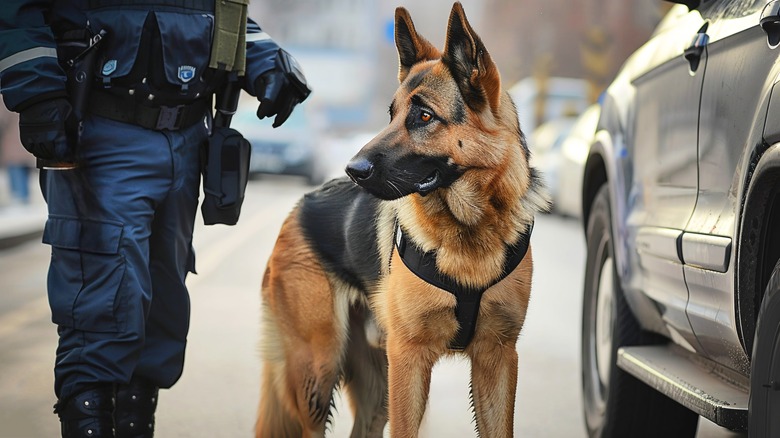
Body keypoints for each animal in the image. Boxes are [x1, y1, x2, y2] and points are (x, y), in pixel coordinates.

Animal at [256, 2, 548, 434]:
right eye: (391, 114)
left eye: (424, 116)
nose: (352, 169)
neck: (468, 228)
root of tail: (298, 207)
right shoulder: (410, 359)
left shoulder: (497, 358)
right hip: (318, 372)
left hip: (377, 385)